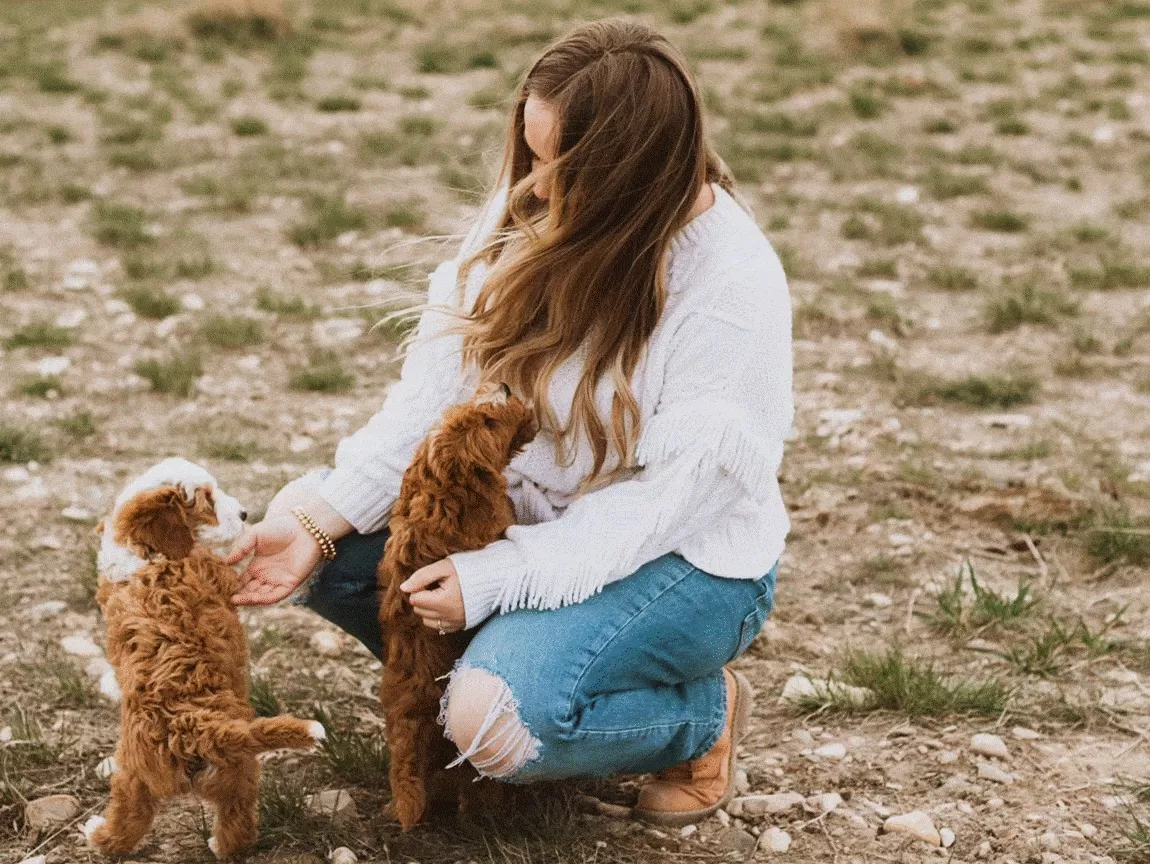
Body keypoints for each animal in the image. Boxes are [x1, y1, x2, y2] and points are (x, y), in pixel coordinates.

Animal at [83, 460, 324, 860]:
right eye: (208, 500)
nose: (244, 515)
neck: (146, 552)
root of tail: (194, 727)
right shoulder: (218, 574)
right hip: (238, 772)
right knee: (237, 819)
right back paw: (219, 843)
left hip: (133, 775)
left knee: (129, 818)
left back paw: (101, 838)